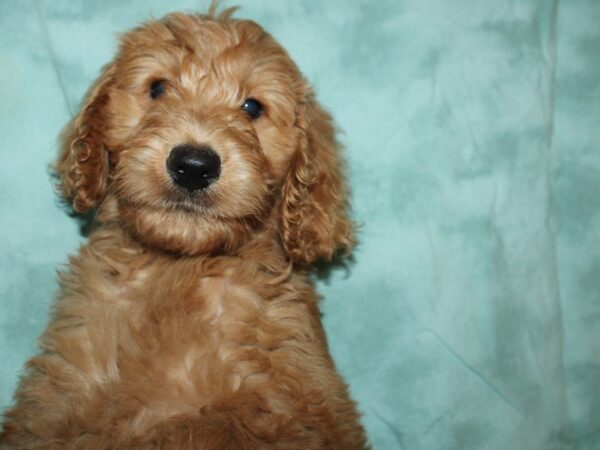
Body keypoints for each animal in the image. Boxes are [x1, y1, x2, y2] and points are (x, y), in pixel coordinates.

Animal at [0, 4, 368, 450]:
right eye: (158, 88)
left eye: (252, 108)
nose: (193, 165)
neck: (183, 269)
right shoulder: (61, 386)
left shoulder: (294, 400)